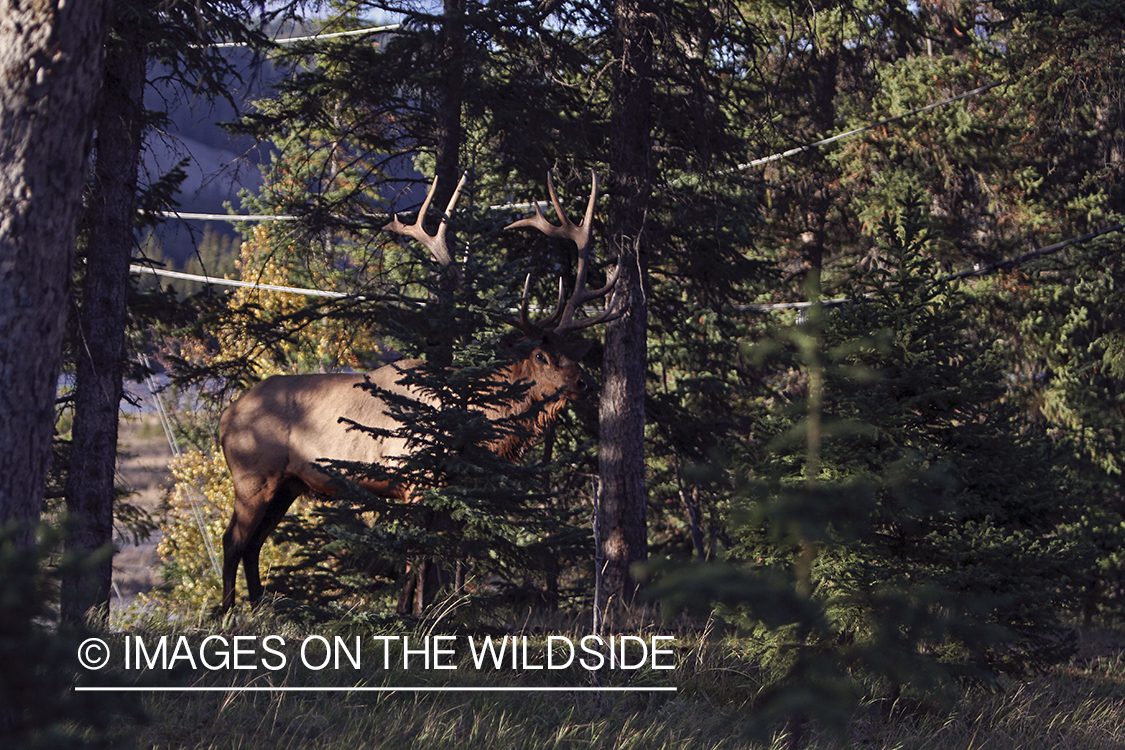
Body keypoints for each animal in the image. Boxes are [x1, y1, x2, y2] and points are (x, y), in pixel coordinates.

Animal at [217, 173, 625, 611]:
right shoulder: (414, 481)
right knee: (233, 540)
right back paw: (226, 610)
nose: (585, 382)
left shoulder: (445, 491)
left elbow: (432, 559)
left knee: (254, 543)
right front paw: (407, 612)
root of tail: (224, 418)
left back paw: (258, 605)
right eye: (541, 355)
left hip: (288, 484)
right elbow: (416, 557)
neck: (472, 429)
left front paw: (425, 609)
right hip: (253, 476)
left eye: (569, 351)